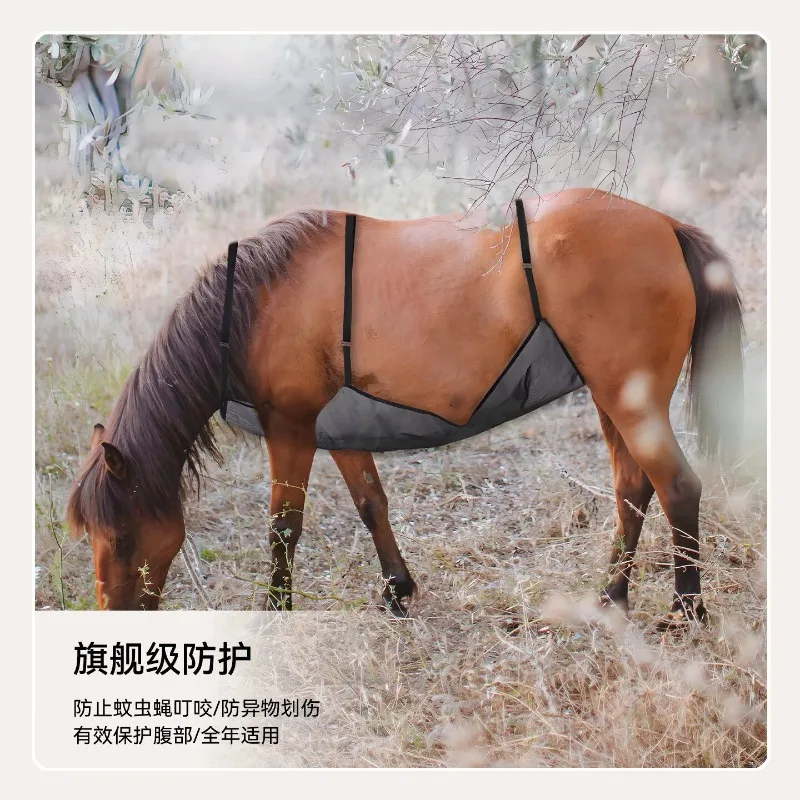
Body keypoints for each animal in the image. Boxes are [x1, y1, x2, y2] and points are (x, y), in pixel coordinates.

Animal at [65, 188, 744, 623]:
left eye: (120, 534)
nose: (110, 618)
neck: (254, 303)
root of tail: (666, 226)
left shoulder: (291, 428)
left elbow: (284, 527)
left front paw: (276, 610)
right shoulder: (338, 431)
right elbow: (371, 504)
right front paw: (398, 589)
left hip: (630, 403)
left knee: (677, 487)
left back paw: (686, 611)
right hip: (610, 399)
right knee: (633, 489)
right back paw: (610, 598)